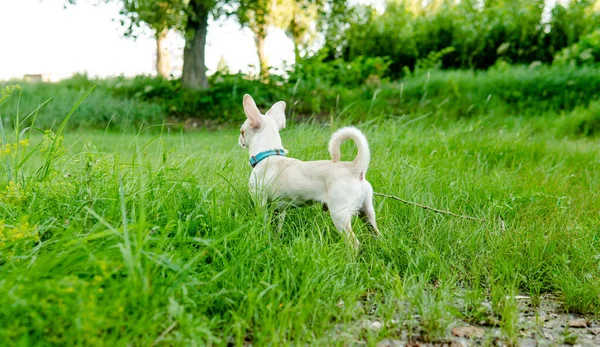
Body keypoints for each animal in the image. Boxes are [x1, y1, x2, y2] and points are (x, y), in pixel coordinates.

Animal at [239, 94, 380, 249]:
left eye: (242, 131)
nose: (240, 139)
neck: (269, 155)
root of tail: (355, 168)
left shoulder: (261, 203)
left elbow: (262, 224)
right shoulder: (279, 210)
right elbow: (277, 227)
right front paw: (274, 241)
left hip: (340, 215)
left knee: (354, 243)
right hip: (367, 213)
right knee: (377, 234)